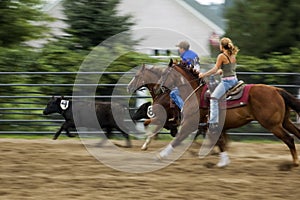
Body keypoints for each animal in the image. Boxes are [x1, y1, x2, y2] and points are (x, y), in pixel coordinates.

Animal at [157, 59, 300, 167]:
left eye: (165, 73)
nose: (159, 87)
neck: (196, 94)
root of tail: (277, 90)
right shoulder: (210, 127)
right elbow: (220, 142)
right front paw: (223, 162)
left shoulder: (191, 124)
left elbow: (177, 140)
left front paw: (160, 155)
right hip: (285, 122)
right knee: (296, 133)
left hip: (273, 125)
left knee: (289, 139)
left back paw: (295, 162)